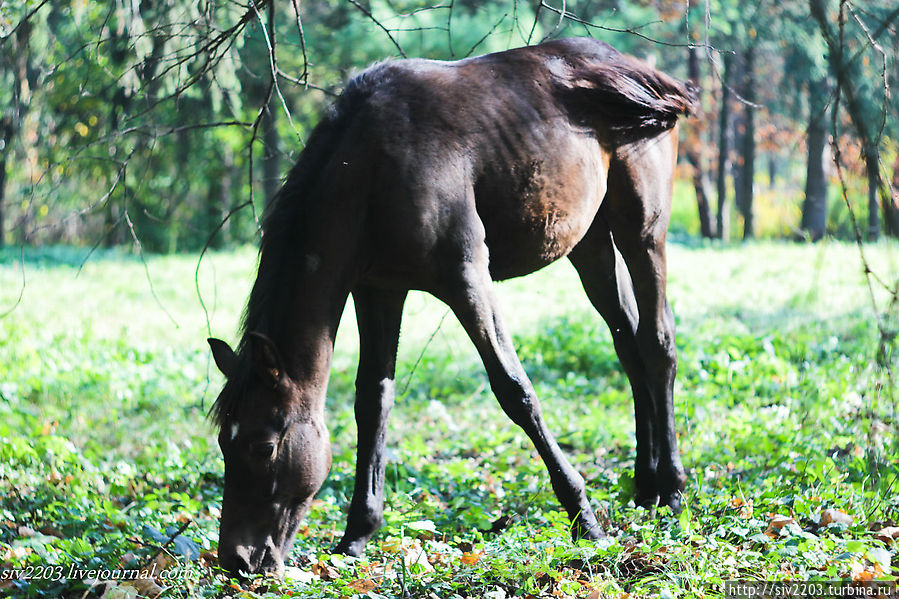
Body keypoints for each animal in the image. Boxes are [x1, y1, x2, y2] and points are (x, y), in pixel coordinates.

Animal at [209, 36, 696, 576]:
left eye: (263, 446)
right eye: (224, 443)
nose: (236, 558)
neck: (370, 169)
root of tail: (634, 71)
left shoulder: (466, 280)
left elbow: (515, 391)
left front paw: (583, 518)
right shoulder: (378, 290)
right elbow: (372, 401)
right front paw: (356, 536)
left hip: (642, 231)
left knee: (657, 344)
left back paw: (671, 488)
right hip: (589, 244)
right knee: (628, 346)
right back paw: (645, 485)